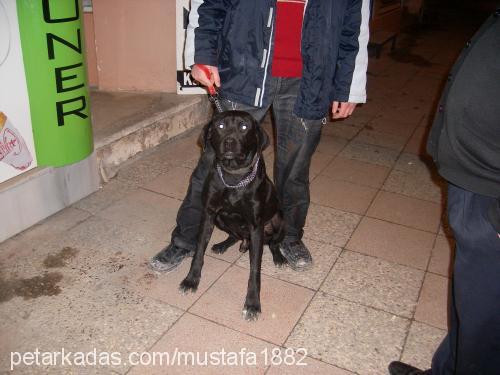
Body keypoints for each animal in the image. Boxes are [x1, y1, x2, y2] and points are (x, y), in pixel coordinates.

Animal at [180, 110, 286, 322]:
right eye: (220, 126)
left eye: (244, 127)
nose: (229, 142)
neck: (233, 177)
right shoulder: (208, 215)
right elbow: (198, 252)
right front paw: (191, 280)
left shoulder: (256, 227)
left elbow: (255, 270)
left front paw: (252, 303)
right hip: (221, 220)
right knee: (234, 235)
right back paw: (223, 245)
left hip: (279, 220)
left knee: (273, 242)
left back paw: (278, 257)